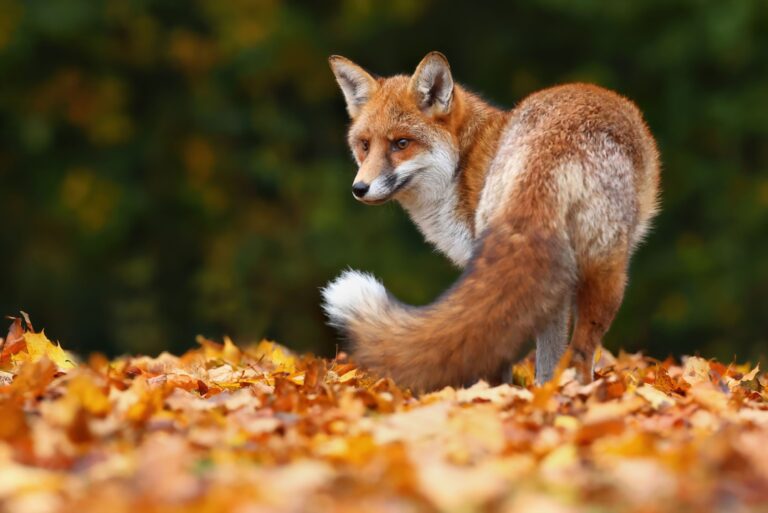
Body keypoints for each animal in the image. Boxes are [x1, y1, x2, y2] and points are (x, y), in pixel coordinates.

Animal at [322, 52, 660, 392]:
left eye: (402, 143)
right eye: (365, 145)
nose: (359, 188)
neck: (462, 164)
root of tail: (548, 150)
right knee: (571, 353)